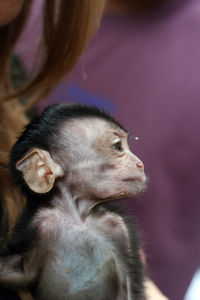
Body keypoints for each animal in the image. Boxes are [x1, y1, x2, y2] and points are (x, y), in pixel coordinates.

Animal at [0, 103, 147, 300]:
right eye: (118, 146)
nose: (140, 164)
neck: (79, 217)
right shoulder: (40, 225)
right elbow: (17, 271)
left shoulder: (120, 228)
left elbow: (129, 286)